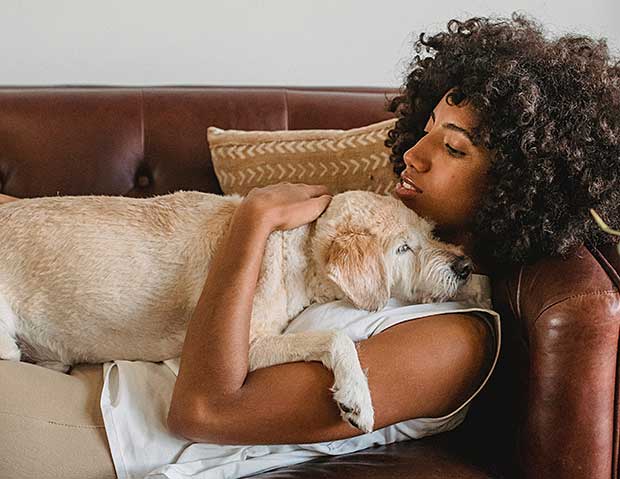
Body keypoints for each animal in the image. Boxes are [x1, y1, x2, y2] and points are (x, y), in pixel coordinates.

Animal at [0, 189, 474, 434]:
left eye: (429, 232)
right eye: (403, 248)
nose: (465, 266)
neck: (297, 245)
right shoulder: (248, 345)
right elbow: (335, 335)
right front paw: (356, 396)